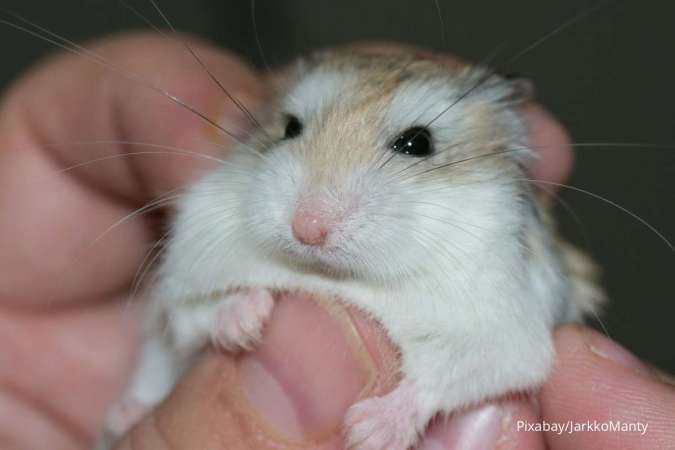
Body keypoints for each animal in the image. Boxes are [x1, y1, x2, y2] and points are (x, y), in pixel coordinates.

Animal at [98, 46, 605, 450]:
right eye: (289, 127)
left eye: (418, 143)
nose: (308, 228)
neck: (340, 278)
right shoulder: (185, 275)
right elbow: (197, 312)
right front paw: (247, 321)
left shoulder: (506, 333)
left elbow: (449, 376)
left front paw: (366, 432)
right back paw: (124, 416)